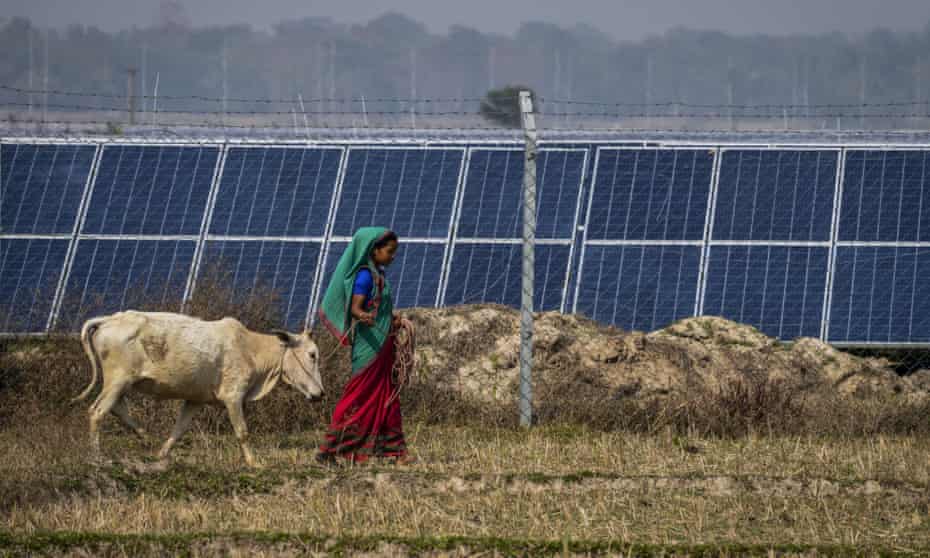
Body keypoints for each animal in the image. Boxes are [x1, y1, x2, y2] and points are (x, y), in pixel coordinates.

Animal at [74, 310, 324, 468]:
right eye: (312, 354)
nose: (320, 394)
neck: (250, 348)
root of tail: (110, 319)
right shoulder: (233, 397)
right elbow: (242, 432)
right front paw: (255, 463)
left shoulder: (195, 400)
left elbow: (179, 429)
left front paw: (161, 455)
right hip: (118, 380)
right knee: (97, 412)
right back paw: (97, 457)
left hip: (121, 383)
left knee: (117, 409)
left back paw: (145, 437)